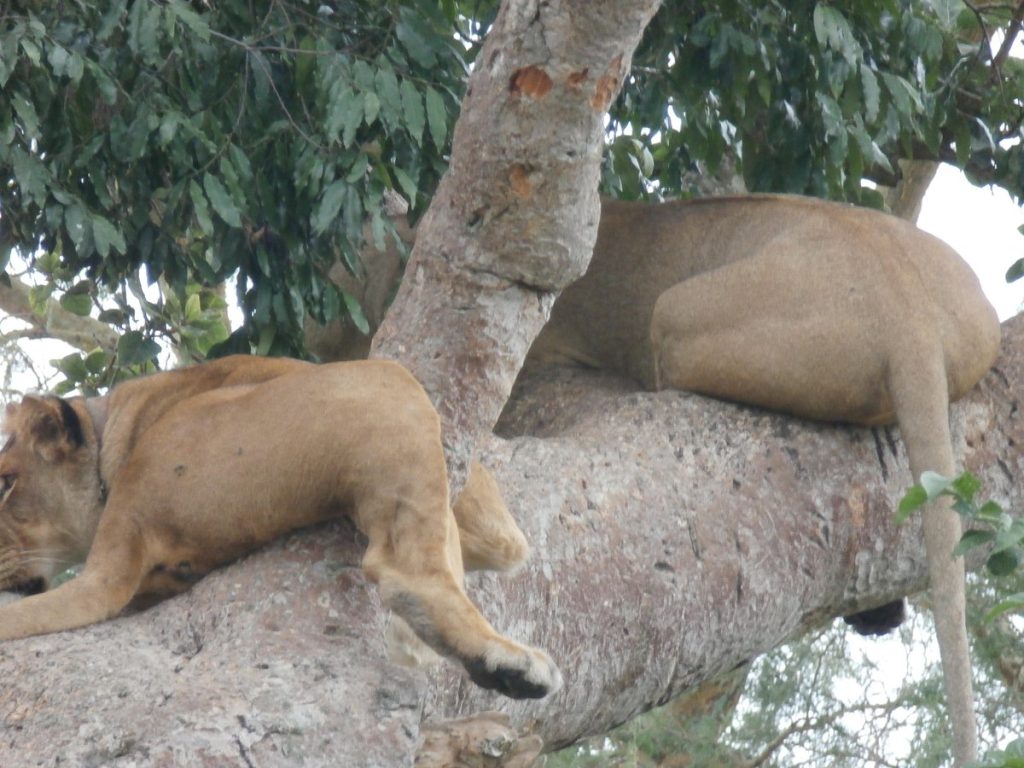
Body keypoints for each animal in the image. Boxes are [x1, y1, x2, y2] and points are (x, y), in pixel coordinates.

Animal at [0, 354, 561, 700]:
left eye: (5, 482)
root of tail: (126, 513)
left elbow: (496, 539)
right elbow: (497, 536)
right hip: (382, 380)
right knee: (406, 569)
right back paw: (500, 658)